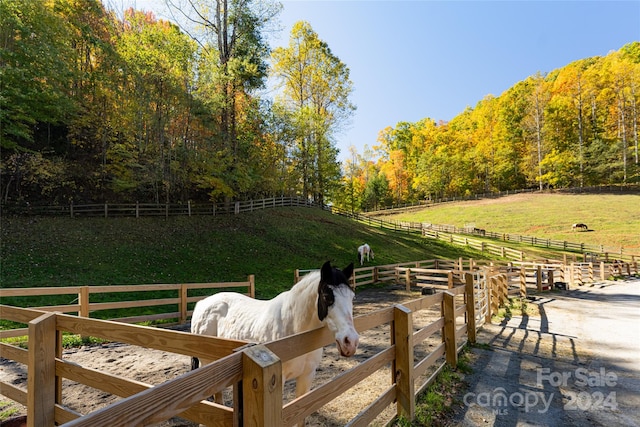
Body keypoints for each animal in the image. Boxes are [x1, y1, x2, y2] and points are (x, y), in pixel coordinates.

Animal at [190, 260, 360, 404]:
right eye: (327, 296)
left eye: (352, 297)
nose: (350, 342)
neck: (296, 335)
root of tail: (202, 303)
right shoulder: (279, 380)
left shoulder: (307, 376)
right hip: (208, 363)